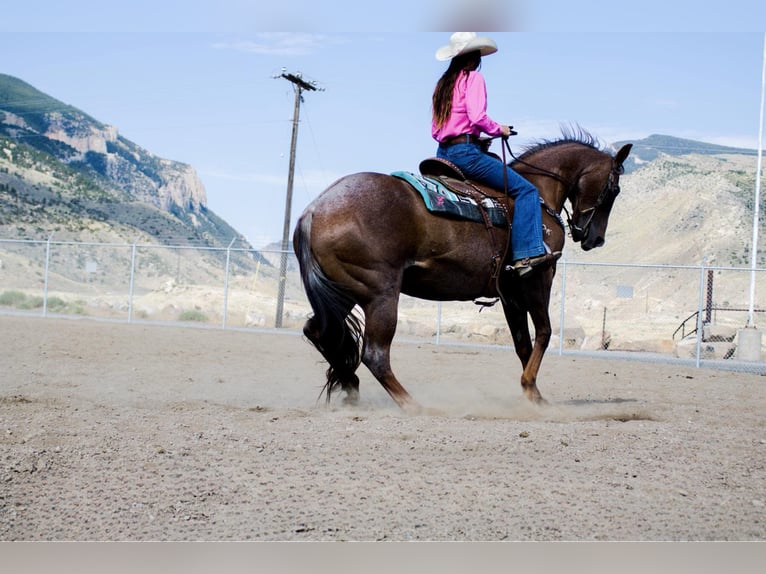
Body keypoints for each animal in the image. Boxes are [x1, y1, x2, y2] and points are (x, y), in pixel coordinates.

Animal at [293, 130, 632, 413]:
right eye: (614, 189)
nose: (594, 238)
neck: (538, 195)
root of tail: (314, 211)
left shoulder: (509, 293)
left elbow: (522, 342)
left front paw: (533, 392)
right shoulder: (538, 277)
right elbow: (545, 333)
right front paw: (531, 390)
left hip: (345, 292)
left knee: (319, 332)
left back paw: (351, 387)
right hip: (381, 295)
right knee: (374, 354)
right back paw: (412, 404)